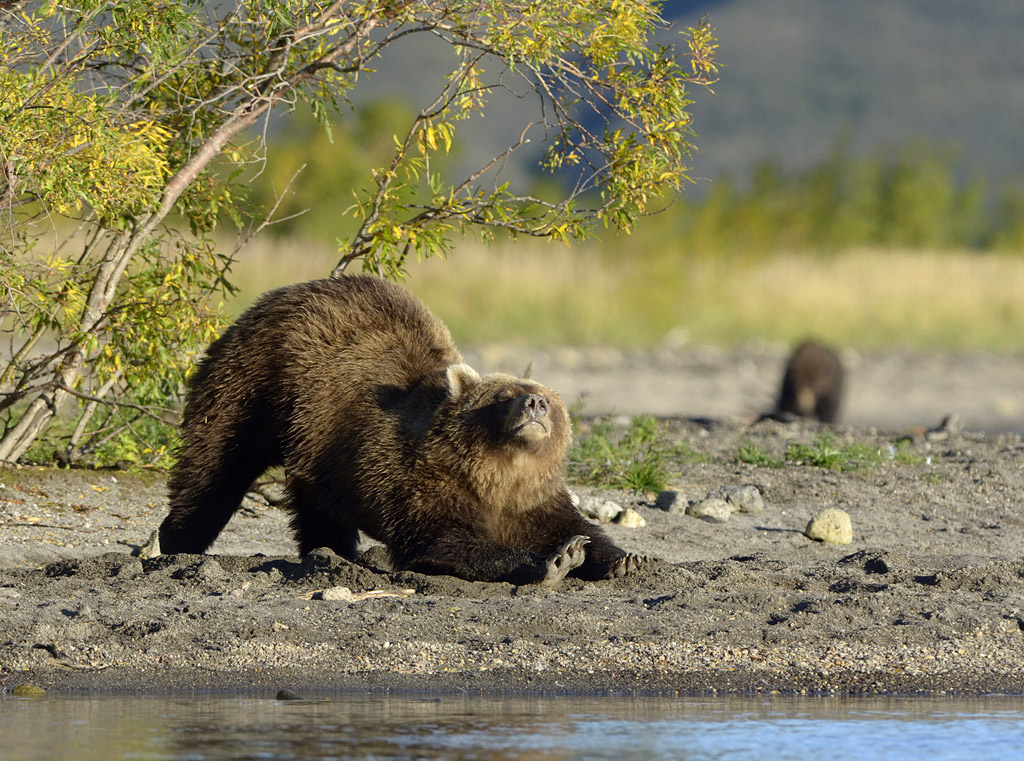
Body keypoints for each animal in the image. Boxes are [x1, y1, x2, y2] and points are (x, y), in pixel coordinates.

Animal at [156, 276, 643, 585]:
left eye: (548, 398)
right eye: (504, 393)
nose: (535, 403)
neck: (496, 474)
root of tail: (277, 295)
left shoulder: (532, 496)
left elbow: (572, 523)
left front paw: (618, 557)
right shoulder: (421, 481)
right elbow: (442, 541)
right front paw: (552, 560)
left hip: (317, 440)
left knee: (315, 501)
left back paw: (332, 552)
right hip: (256, 382)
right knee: (215, 463)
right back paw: (177, 542)